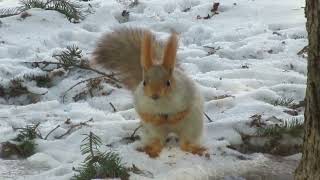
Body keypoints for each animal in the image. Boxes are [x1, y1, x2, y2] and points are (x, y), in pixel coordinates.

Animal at [92, 27, 208, 158]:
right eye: (144, 82)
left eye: (168, 83)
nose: (154, 95)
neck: (161, 104)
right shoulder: (140, 102)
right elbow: (145, 114)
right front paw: (158, 120)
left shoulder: (188, 94)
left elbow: (184, 111)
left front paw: (173, 118)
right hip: (152, 132)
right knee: (158, 142)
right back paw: (151, 150)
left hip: (192, 127)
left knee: (185, 144)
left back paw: (195, 149)